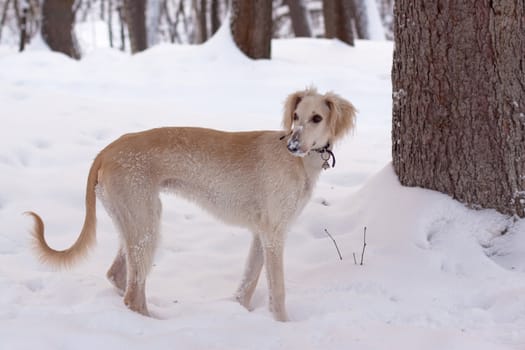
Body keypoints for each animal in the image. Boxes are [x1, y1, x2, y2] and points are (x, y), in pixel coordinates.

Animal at [27, 87, 356, 320]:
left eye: (316, 118)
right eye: (296, 116)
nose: (292, 145)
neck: (297, 163)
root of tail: (106, 151)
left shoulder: (261, 233)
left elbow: (247, 284)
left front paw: (239, 313)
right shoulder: (274, 234)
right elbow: (278, 291)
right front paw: (282, 325)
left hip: (133, 222)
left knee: (120, 278)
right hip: (146, 222)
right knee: (133, 296)